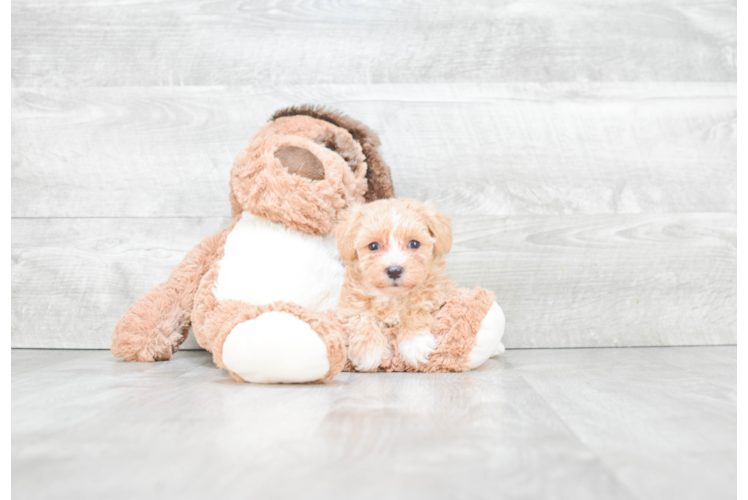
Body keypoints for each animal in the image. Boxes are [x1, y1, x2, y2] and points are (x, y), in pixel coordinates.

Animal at [334, 199, 452, 372]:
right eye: (373, 246)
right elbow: (363, 318)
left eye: (414, 243)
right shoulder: (350, 307)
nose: (394, 270)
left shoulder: (434, 295)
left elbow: (415, 310)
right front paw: (368, 351)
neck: (391, 297)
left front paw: (415, 343)